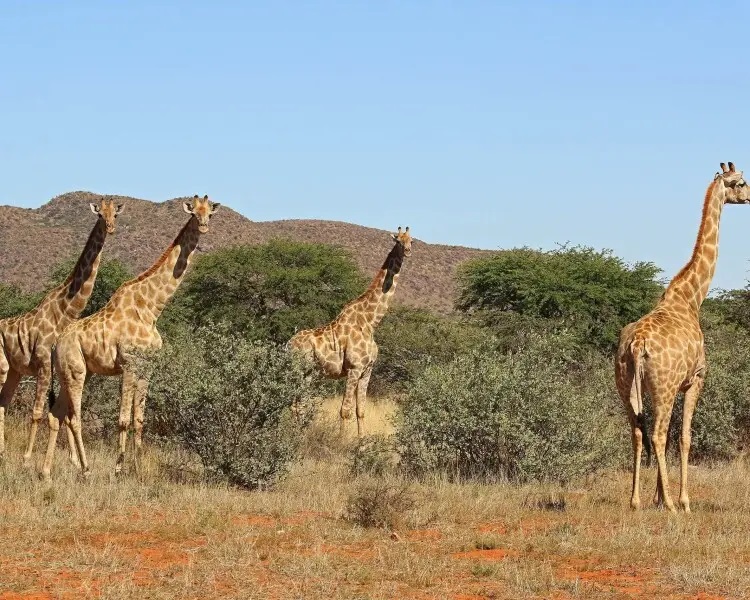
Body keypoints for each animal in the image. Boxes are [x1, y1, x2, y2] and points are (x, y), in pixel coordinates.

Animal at [0, 198, 122, 466]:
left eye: (115, 214)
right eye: (99, 215)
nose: (110, 228)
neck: (64, 311)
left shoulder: (59, 367)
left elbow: (64, 413)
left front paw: (74, 461)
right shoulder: (44, 364)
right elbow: (38, 412)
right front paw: (27, 458)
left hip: (14, 370)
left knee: (3, 401)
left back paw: (2, 451)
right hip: (2, 365)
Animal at [41, 195, 219, 481]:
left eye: (209, 213)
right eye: (194, 213)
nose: (203, 227)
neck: (151, 309)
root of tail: (56, 343)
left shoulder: (148, 367)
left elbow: (139, 419)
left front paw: (138, 469)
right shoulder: (129, 365)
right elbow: (123, 419)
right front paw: (118, 469)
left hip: (75, 372)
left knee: (56, 414)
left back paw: (45, 472)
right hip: (75, 371)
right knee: (74, 417)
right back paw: (86, 469)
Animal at [289, 226, 413, 436]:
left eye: (412, 240)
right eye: (397, 240)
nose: (408, 251)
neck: (370, 322)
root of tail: (287, 345)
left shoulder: (367, 370)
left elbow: (360, 410)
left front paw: (362, 442)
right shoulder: (354, 369)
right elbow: (345, 410)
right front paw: (341, 440)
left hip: (308, 373)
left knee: (298, 403)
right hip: (300, 369)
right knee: (295, 403)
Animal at [615, 162, 750, 513]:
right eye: (740, 182)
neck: (692, 298)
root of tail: (636, 345)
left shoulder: (671, 386)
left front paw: (657, 497)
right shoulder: (695, 379)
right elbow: (686, 437)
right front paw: (681, 500)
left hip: (627, 386)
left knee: (638, 432)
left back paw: (635, 501)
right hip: (661, 386)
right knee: (658, 434)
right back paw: (674, 507)